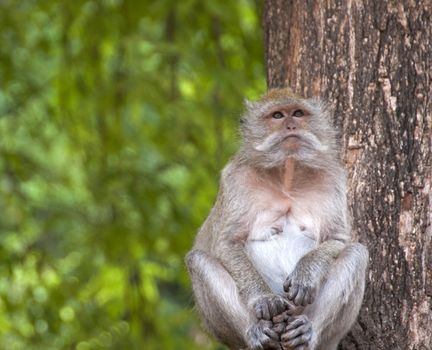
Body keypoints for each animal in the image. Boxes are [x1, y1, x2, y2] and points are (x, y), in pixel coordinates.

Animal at [186, 88, 368, 350]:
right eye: (278, 115)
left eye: (299, 113)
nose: (291, 126)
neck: (287, 175)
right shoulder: (236, 178)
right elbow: (227, 242)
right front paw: (264, 299)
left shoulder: (332, 178)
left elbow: (338, 239)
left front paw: (305, 275)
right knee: (198, 260)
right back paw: (256, 333)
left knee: (357, 254)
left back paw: (307, 333)